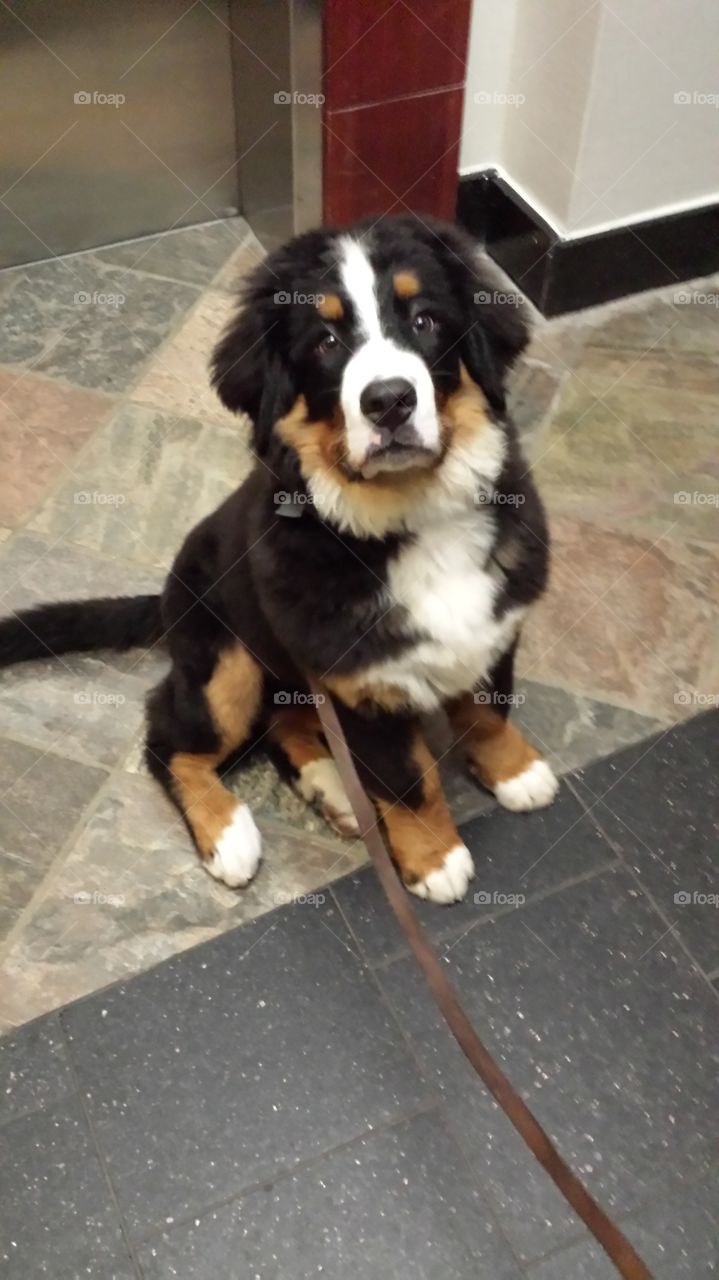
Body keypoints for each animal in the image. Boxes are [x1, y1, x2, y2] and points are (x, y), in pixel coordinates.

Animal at [0, 215, 555, 901]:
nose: (389, 400)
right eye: (325, 341)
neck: (410, 517)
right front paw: (435, 858)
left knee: (283, 725)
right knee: (169, 738)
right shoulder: (360, 686)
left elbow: (485, 712)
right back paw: (229, 832)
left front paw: (515, 770)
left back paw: (330, 787)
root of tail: (167, 593)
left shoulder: (492, 630)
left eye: (424, 320)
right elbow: (408, 781)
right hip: (226, 660)